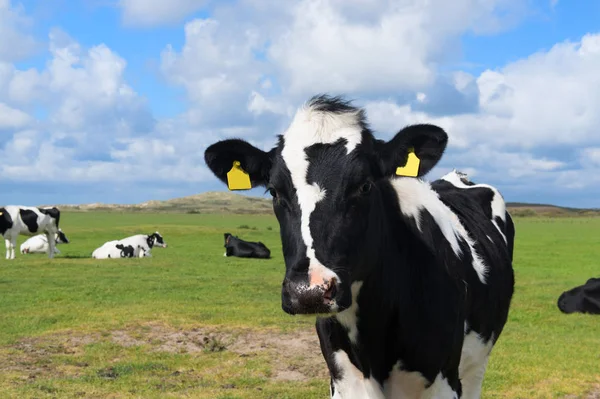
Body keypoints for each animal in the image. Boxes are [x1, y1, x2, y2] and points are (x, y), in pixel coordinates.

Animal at [204, 95, 512, 398]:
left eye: (365, 185)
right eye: (274, 191)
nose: (308, 292)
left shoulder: (443, 382)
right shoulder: (343, 382)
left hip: (476, 365)